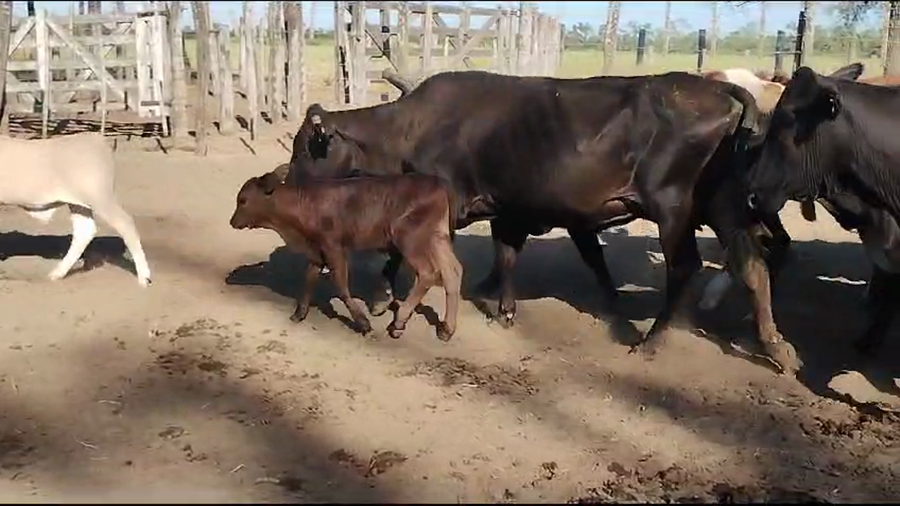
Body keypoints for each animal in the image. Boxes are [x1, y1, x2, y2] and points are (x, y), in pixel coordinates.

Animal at [0, 132, 151, 287]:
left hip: (100, 199)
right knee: (84, 231)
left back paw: (144, 277)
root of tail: (96, 138)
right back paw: (58, 273)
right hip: (79, 204)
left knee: (125, 224)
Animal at [229, 168, 463, 342]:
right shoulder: (316, 252)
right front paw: (299, 314)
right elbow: (309, 280)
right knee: (452, 272)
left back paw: (399, 323)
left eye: (243, 200)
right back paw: (446, 329)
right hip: (437, 238)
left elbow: (341, 286)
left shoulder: (334, 248)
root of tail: (438, 182)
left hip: (411, 239)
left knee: (427, 273)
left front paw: (363, 323)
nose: (232, 221)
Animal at [285, 69, 804, 374]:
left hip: (674, 208)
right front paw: (504, 309)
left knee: (686, 268)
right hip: (723, 206)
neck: (410, 129)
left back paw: (651, 342)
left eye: (306, 147)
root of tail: (715, 86)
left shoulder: (442, 204)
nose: (286, 186)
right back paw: (776, 347)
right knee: (752, 266)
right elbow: (506, 256)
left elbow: (407, 255)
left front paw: (386, 301)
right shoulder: (507, 206)